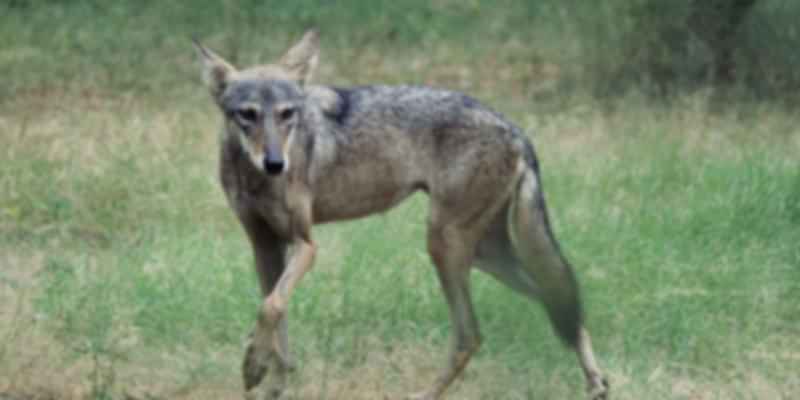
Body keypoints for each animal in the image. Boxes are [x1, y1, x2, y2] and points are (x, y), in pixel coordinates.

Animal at [193, 30, 609, 400]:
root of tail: (516, 130)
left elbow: (271, 308)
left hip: (445, 245)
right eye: (247, 115)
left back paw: (427, 393)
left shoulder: (306, 245)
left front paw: (254, 365)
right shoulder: (264, 246)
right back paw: (597, 382)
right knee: (558, 300)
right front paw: (272, 378)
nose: (276, 163)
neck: (252, 177)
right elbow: (276, 318)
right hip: (483, 254)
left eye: (286, 115)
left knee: (472, 334)